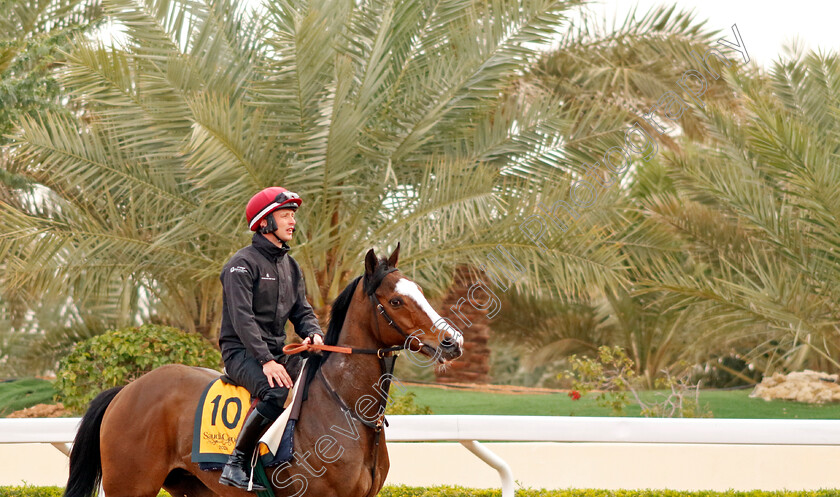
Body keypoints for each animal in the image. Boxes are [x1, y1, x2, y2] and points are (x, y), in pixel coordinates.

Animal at [62, 244, 462, 496]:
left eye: (420, 291)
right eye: (395, 301)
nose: (452, 341)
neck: (346, 409)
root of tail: (126, 390)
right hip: (130, 486)